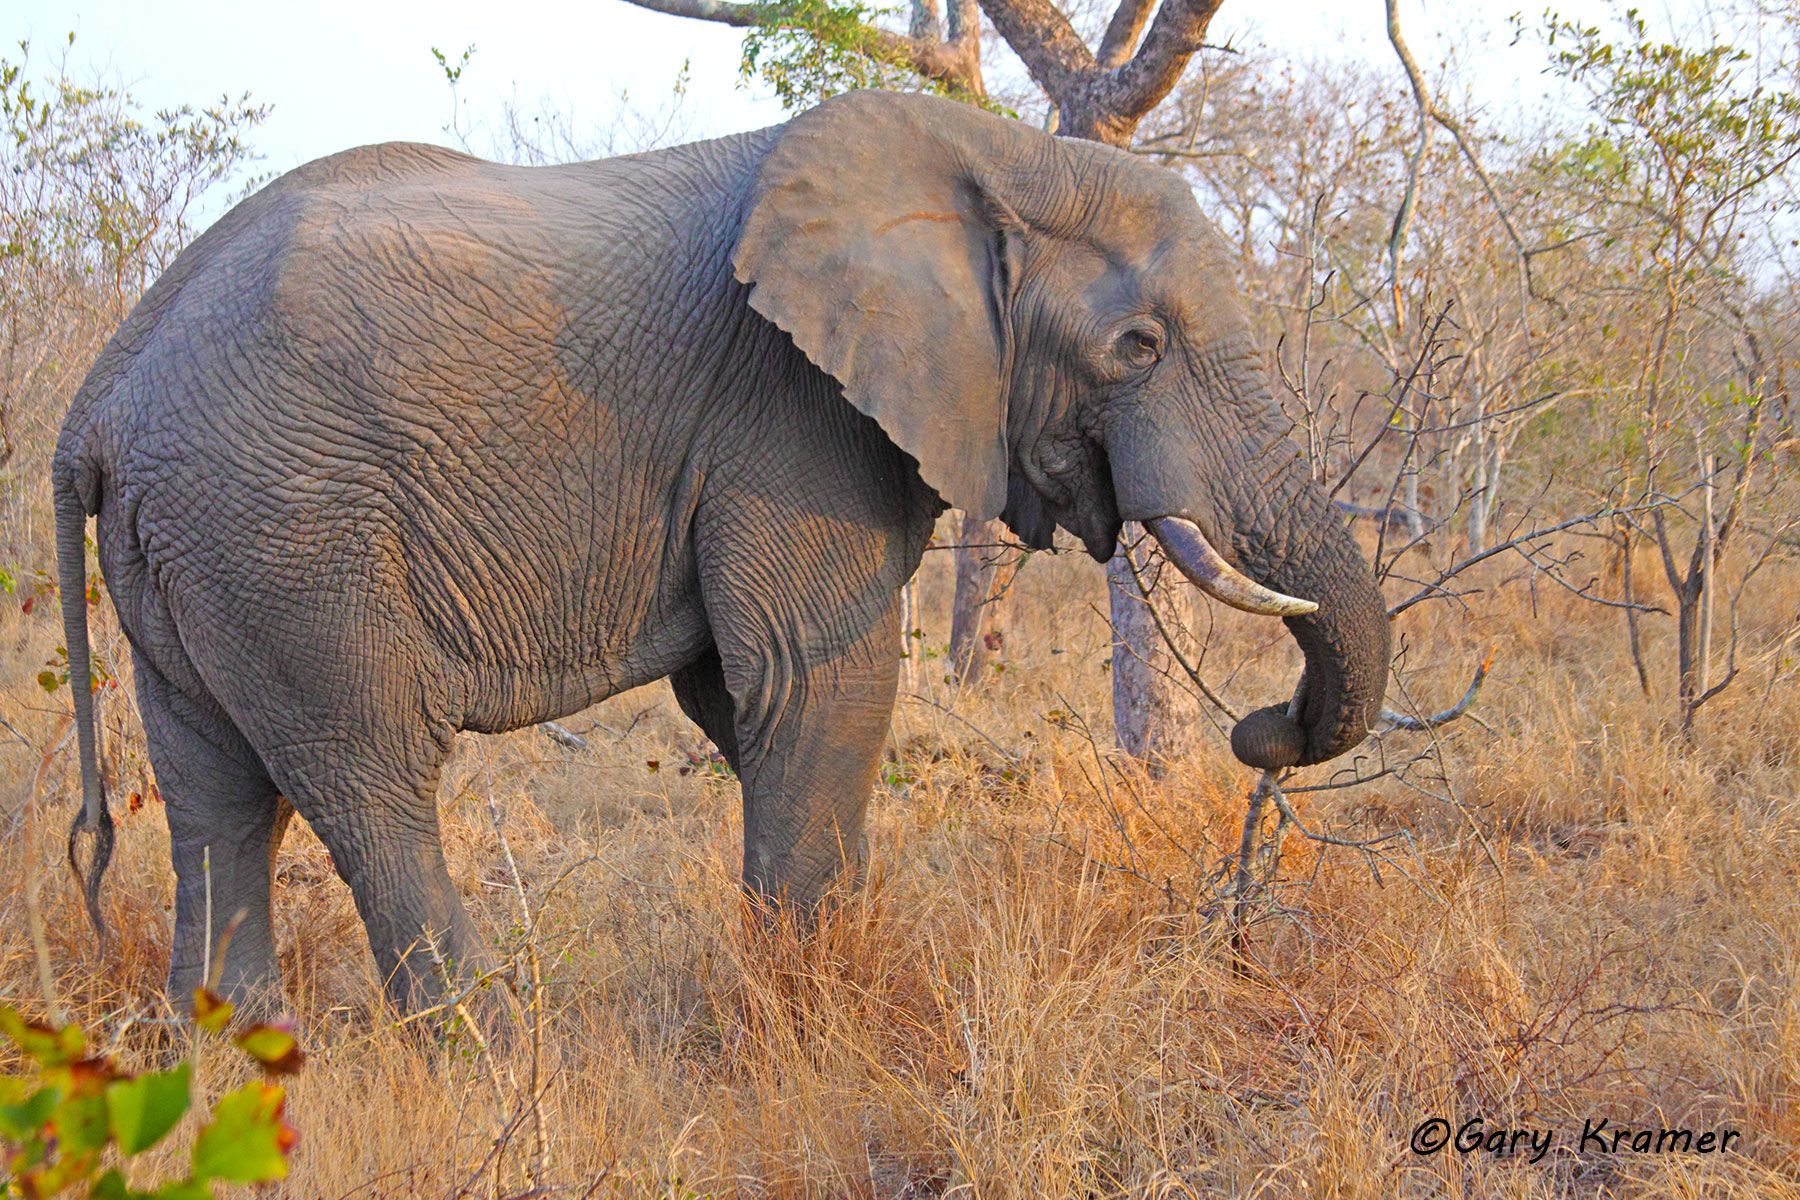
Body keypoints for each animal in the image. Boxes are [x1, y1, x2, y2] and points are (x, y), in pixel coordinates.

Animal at [52, 89, 1390, 1013]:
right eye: (1139, 348)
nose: (1257, 730)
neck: (998, 151)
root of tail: (97, 404)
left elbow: (739, 704)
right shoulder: (789, 414)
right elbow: (814, 686)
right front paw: (815, 1007)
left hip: (195, 552)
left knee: (215, 793)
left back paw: (237, 1069)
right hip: (285, 531)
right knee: (368, 772)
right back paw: (496, 1049)